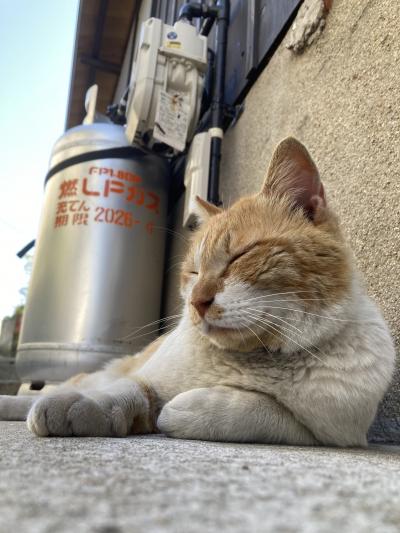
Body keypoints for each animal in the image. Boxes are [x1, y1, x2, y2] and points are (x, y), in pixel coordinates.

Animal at [4, 136, 396, 444]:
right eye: (193, 272)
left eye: (240, 256)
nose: (196, 301)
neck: (252, 359)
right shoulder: (147, 379)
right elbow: (125, 391)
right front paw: (82, 407)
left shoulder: (328, 434)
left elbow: (262, 410)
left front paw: (191, 407)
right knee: (75, 384)